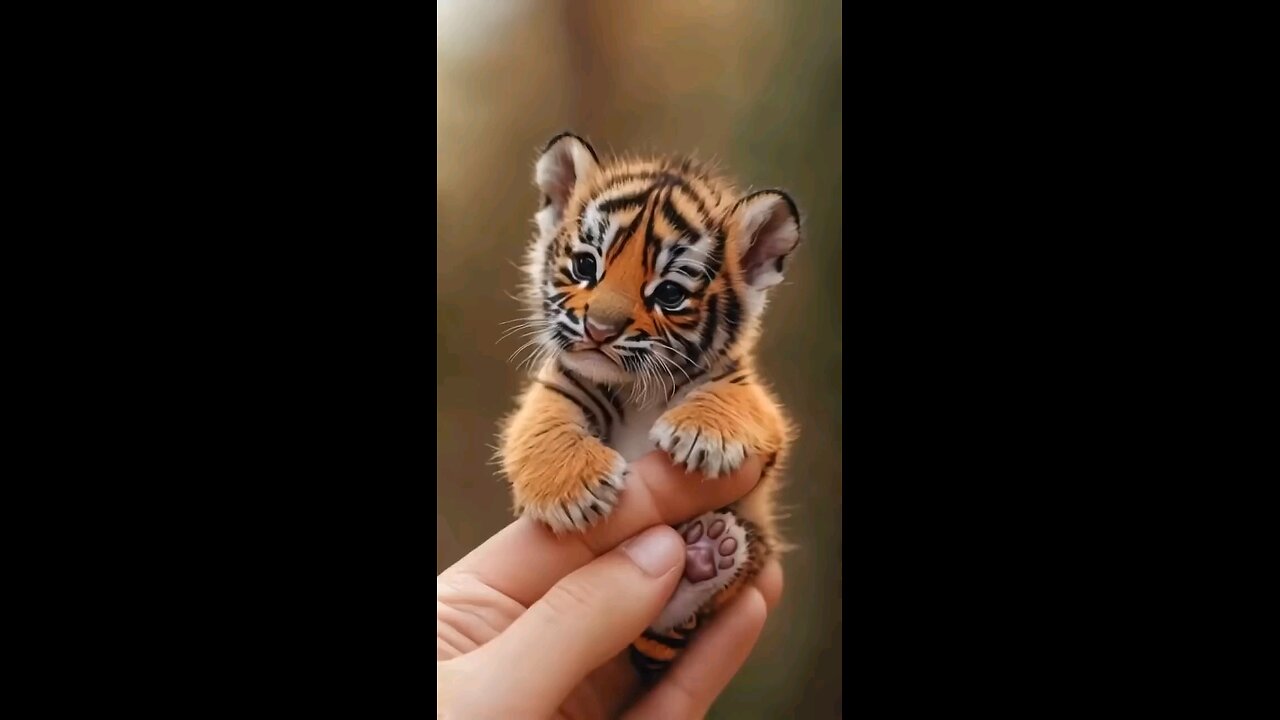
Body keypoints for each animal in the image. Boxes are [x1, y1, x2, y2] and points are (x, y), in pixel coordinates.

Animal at [498, 131, 799, 680]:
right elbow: (544, 424)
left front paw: (702, 435)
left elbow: (734, 397)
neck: (640, 390)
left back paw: (706, 556)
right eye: (586, 266)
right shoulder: (561, 384)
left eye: (670, 294)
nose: (599, 330)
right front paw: (574, 490)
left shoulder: (754, 399)